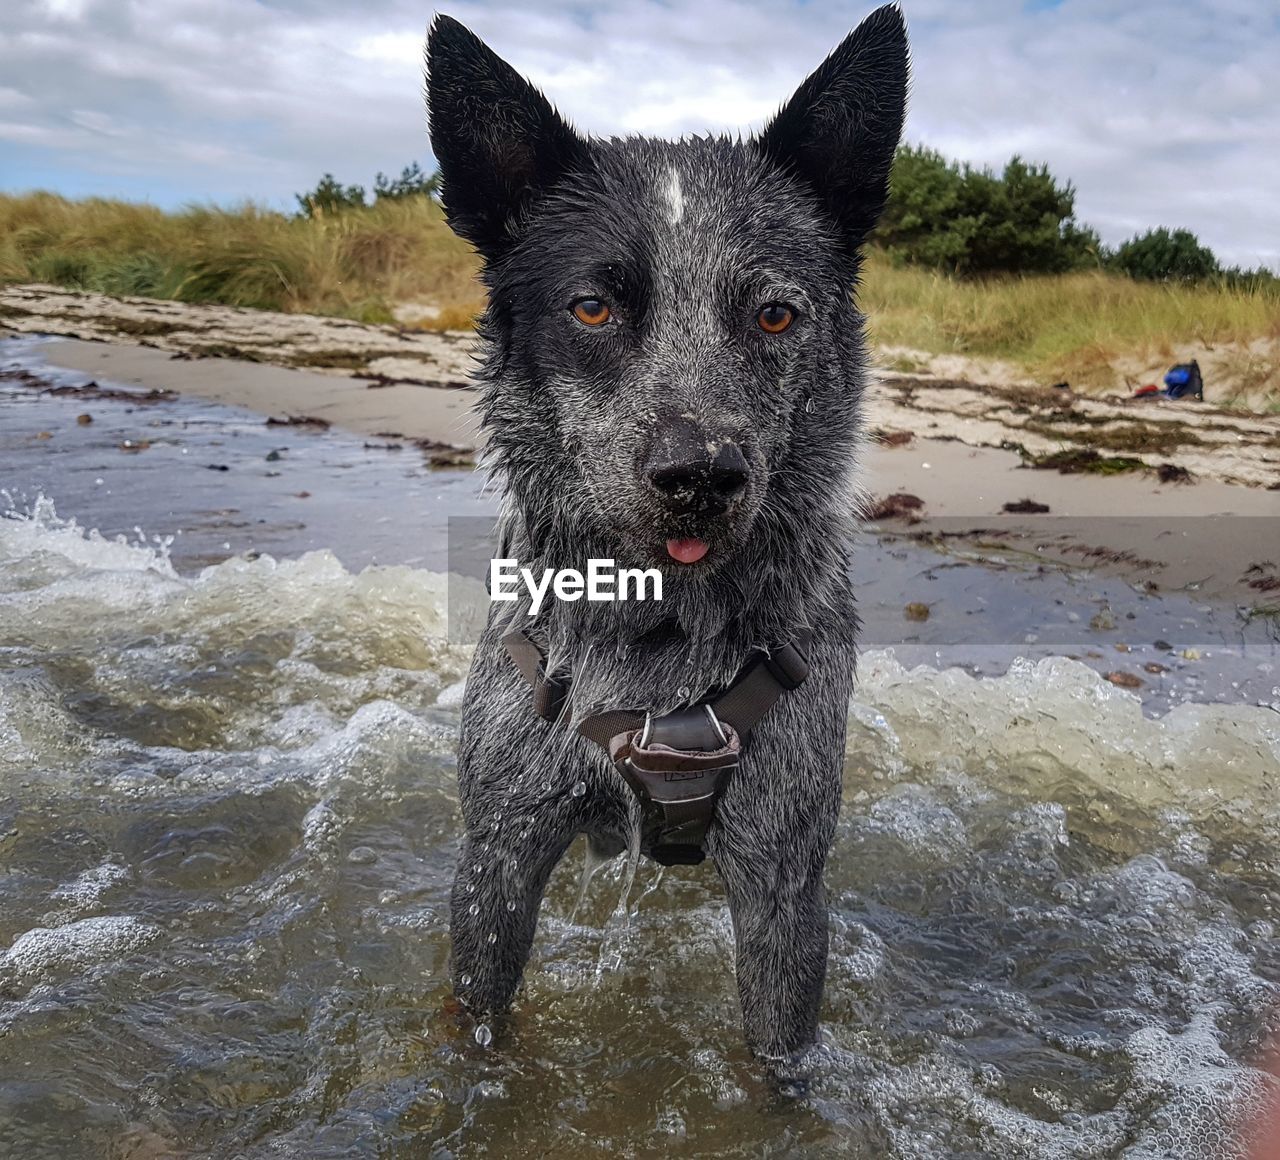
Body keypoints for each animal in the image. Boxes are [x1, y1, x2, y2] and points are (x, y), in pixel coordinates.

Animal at [424, 4, 906, 1060]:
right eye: (593, 306)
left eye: (775, 315)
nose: (701, 478)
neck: (660, 636)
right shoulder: (498, 858)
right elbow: (478, 1029)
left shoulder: (779, 884)